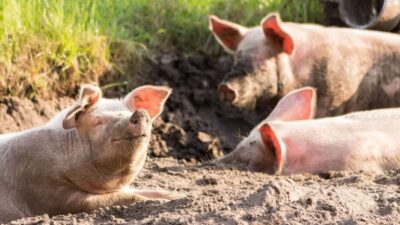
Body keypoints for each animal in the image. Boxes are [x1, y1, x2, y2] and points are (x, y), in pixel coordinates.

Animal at [0, 83, 177, 222]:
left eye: (127, 112)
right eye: (98, 122)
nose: (140, 113)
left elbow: (152, 191)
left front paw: (177, 196)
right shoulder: (49, 192)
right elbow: (126, 197)